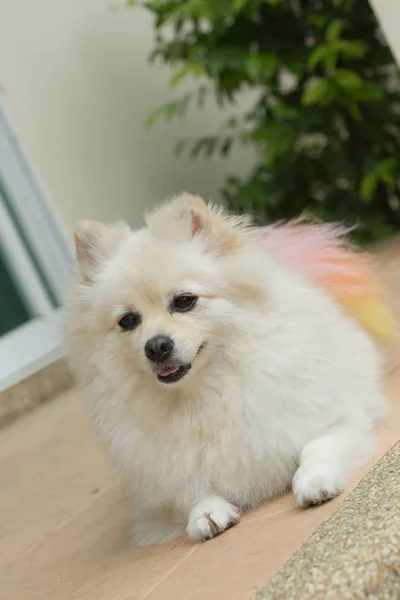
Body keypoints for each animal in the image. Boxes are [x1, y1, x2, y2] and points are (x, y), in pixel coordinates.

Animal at [68, 195, 388, 548]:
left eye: (184, 301)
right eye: (128, 321)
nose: (156, 346)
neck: (206, 394)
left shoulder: (338, 419)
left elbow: (315, 446)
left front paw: (313, 479)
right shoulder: (164, 480)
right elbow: (188, 491)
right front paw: (205, 513)